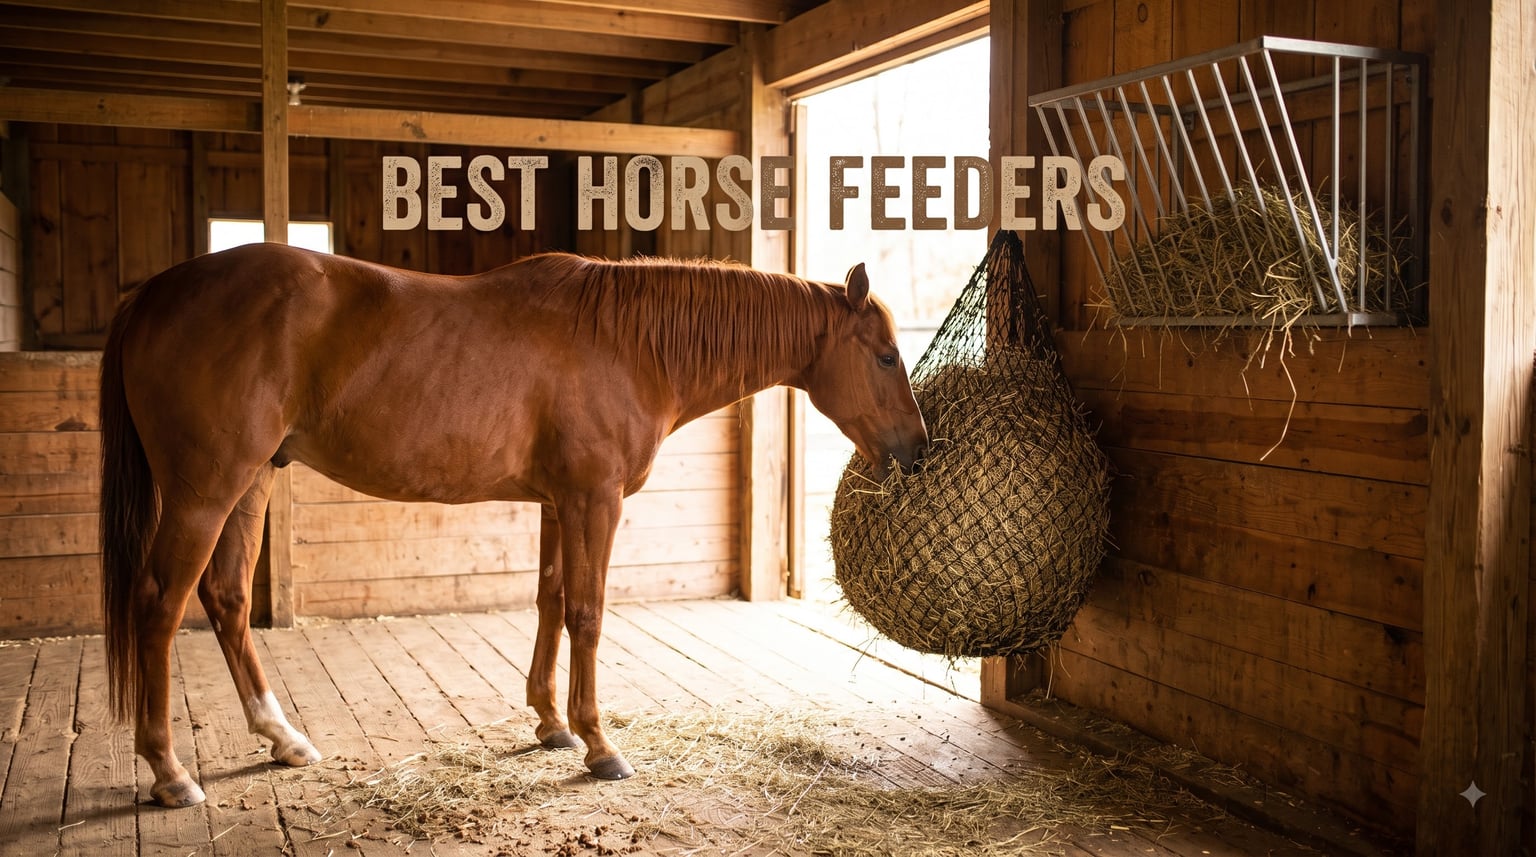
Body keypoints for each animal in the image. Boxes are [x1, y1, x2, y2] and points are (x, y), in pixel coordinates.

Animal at [99, 243, 928, 807]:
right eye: (886, 356)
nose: (919, 450)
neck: (628, 343)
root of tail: (154, 293)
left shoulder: (559, 502)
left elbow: (550, 602)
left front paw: (550, 723)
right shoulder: (595, 499)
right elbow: (588, 613)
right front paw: (598, 743)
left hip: (250, 483)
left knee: (227, 598)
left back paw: (283, 739)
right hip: (206, 491)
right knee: (160, 605)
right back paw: (169, 771)